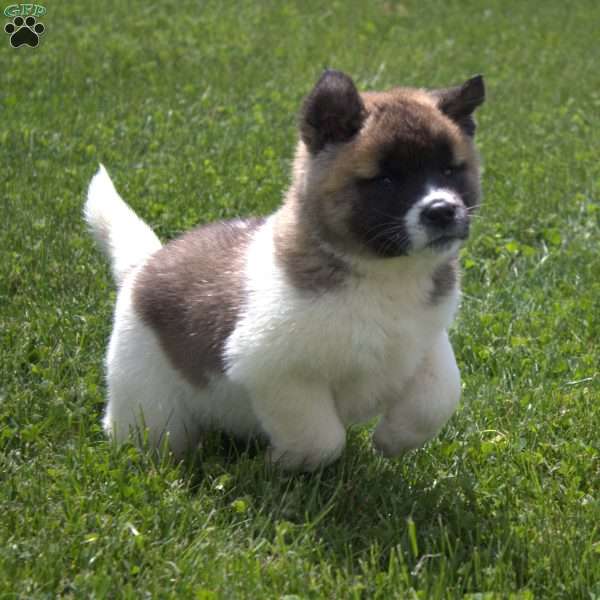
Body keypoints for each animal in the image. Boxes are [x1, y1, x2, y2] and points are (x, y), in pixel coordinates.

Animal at [84, 69, 486, 468]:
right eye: (386, 179)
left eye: (450, 170)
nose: (442, 211)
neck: (384, 273)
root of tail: (144, 265)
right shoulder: (276, 372)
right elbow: (322, 439)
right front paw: (282, 461)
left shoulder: (426, 341)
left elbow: (439, 395)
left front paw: (394, 440)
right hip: (150, 407)